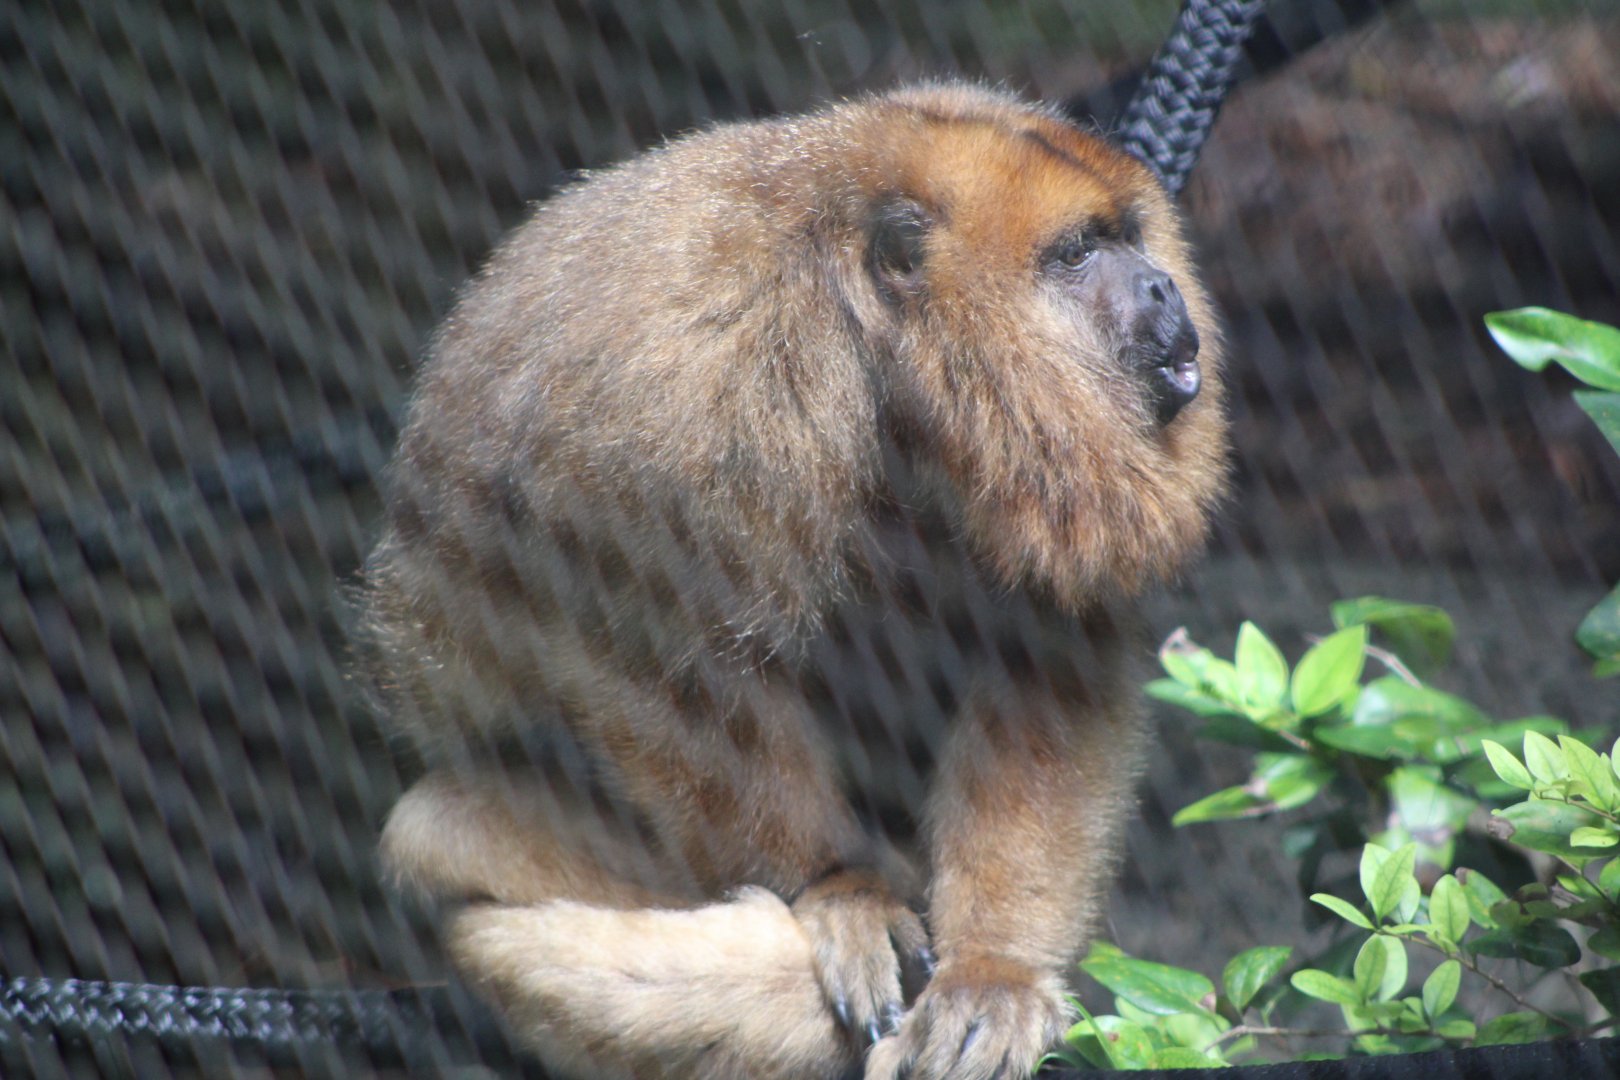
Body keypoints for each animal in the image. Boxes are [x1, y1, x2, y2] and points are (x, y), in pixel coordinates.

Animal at [358, 81, 1226, 1080]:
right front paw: (836, 886)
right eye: (1077, 254)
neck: (879, 365)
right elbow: (665, 675)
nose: (1162, 284)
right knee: (439, 830)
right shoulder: (687, 401)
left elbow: (1046, 662)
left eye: (1128, 236)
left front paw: (994, 971)